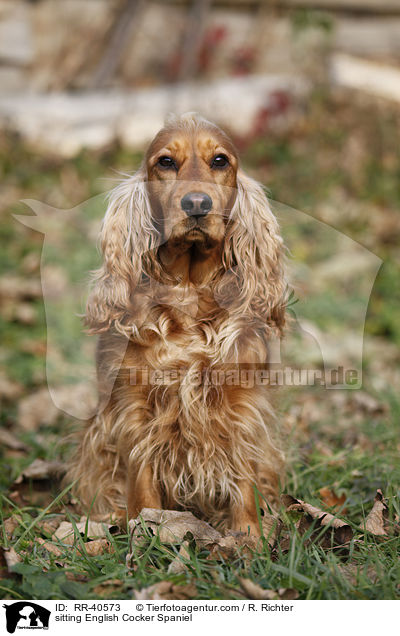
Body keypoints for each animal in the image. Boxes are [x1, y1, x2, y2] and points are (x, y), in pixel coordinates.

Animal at [69, 112, 288, 536]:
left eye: (220, 161)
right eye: (166, 162)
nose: (197, 204)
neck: (188, 294)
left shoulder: (240, 405)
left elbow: (243, 478)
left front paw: (248, 538)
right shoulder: (134, 408)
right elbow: (141, 479)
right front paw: (146, 532)